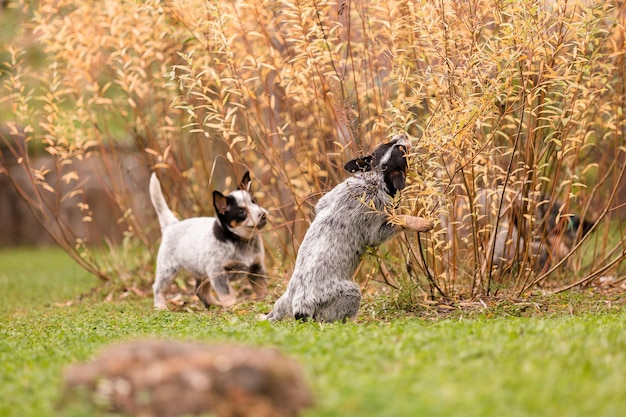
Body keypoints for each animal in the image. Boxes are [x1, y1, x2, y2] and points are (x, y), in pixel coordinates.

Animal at [152, 170, 270, 308]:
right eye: (241, 211)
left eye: (254, 202)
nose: (263, 214)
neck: (240, 240)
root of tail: (172, 225)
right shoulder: (217, 272)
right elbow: (226, 293)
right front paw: (232, 306)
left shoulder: (256, 268)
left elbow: (261, 288)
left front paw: (265, 301)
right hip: (168, 270)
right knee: (158, 288)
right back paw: (161, 307)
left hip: (201, 272)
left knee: (200, 290)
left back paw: (214, 305)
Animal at [260, 135, 432, 324]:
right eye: (402, 151)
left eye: (388, 142)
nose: (403, 136)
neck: (374, 176)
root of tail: (295, 306)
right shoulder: (376, 230)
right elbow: (401, 219)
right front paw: (422, 223)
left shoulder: (324, 200)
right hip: (351, 293)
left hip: (283, 301)